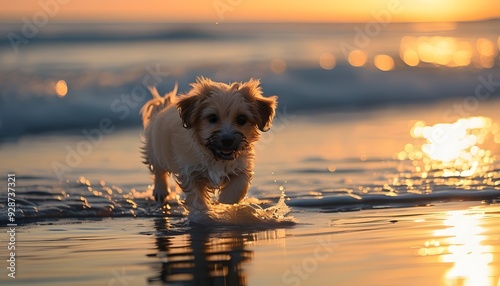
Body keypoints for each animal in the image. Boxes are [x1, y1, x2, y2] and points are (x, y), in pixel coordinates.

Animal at [141, 77, 278, 211]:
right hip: (156, 148)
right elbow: (196, 197)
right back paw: (160, 190)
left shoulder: (241, 166)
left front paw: (225, 204)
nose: (227, 140)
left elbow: (237, 188)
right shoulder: (191, 172)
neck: (215, 156)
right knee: (158, 168)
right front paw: (202, 212)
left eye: (242, 119)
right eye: (212, 118)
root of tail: (163, 106)